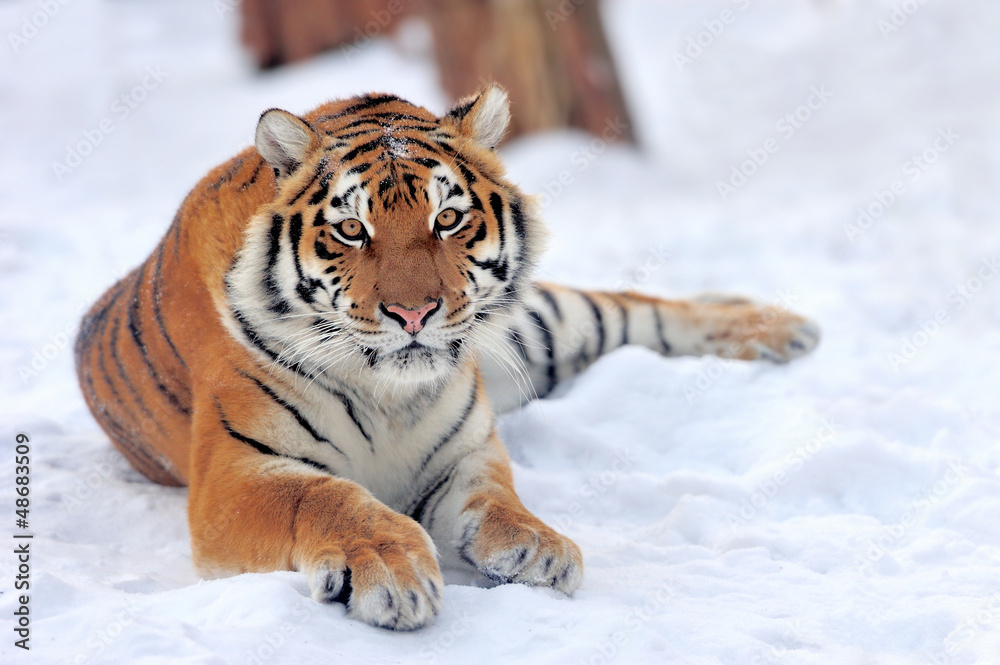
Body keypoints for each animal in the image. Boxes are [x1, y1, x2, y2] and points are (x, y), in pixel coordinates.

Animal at [74, 85, 819, 630]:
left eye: (448, 219)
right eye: (352, 228)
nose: (413, 313)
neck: (388, 397)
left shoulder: (466, 448)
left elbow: (497, 497)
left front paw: (539, 546)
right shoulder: (236, 474)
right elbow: (327, 496)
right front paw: (392, 569)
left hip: (540, 327)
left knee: (637, 305)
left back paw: (783, 328)